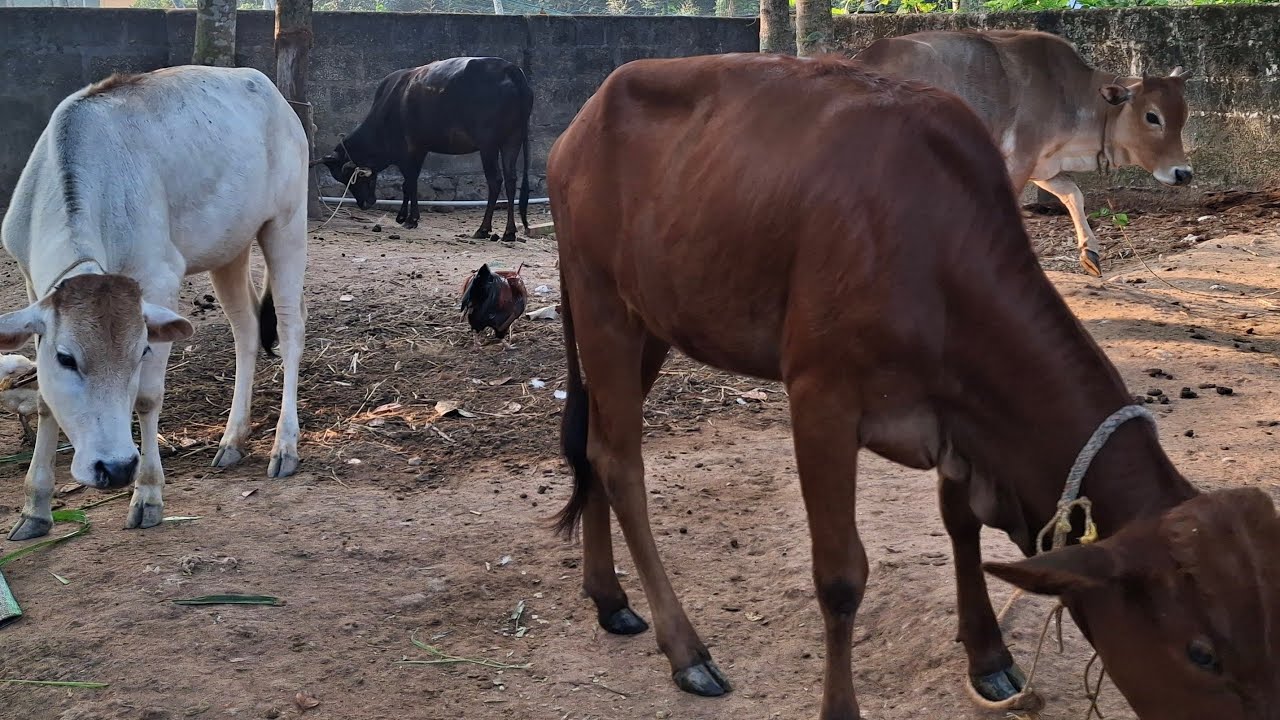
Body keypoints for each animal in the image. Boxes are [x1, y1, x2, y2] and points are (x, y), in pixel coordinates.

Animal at [0, 65, 308, 541]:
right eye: (66, 358)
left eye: (140, 351)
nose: (114, 467)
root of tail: (270, 90)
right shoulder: (33, 283)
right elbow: (46, 398)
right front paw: (35, 509)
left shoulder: (159, 280)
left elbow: (147, 397)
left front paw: (147, 495)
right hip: (230, 249)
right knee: (247, 330)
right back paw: (232, 440)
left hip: (287, 224)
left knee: (291, 330)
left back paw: (284, 446)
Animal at [316, 57, 534, 242]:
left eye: (348, 177)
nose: (365, 204)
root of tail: (510, 69)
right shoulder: (420, 150)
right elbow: (410, 183)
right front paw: (405, 217)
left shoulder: (406, 152)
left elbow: (409, 182)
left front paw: (409, 219)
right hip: (512, 141)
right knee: (511, 180)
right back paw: (509, 232)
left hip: (488, 146)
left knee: (495, 181)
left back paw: (483, 229)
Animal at [855, 29, 1193, 277]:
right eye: (1152, 116)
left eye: (1184, 115)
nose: (1184, 173)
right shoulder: (1018, 161)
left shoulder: (1043, 166)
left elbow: (1074, 194)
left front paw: (1090, 253)